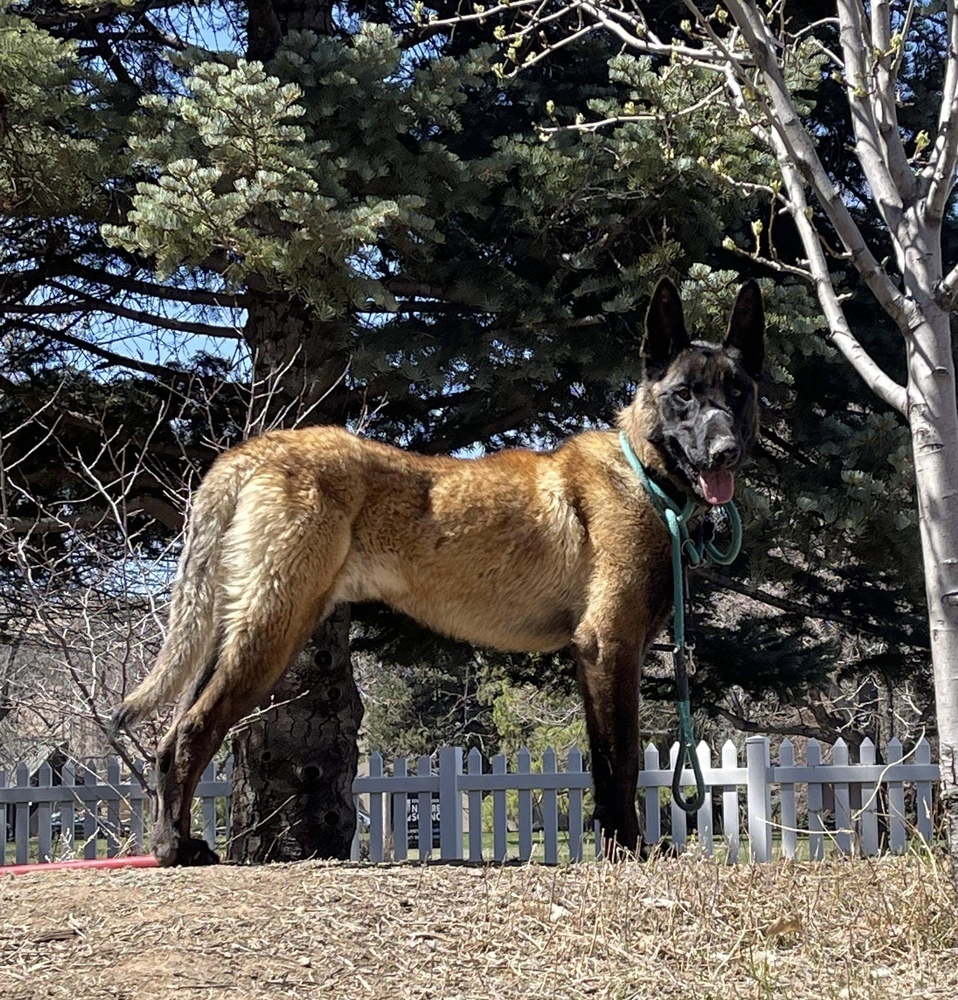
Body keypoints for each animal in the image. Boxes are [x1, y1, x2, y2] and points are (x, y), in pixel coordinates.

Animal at [116, 278, 768, 864]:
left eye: (738, 392)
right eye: (683, 395)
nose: (726, 452)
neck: (643, 471)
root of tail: (251, 454)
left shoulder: (596, 659)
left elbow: (606, 766)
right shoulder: (609, 649)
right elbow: (621, 763)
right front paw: (629, 850)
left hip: (236, 632)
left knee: (171, 738)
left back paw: (171, 842)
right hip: (271, 632)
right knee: (193, 732)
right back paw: (174, 848)